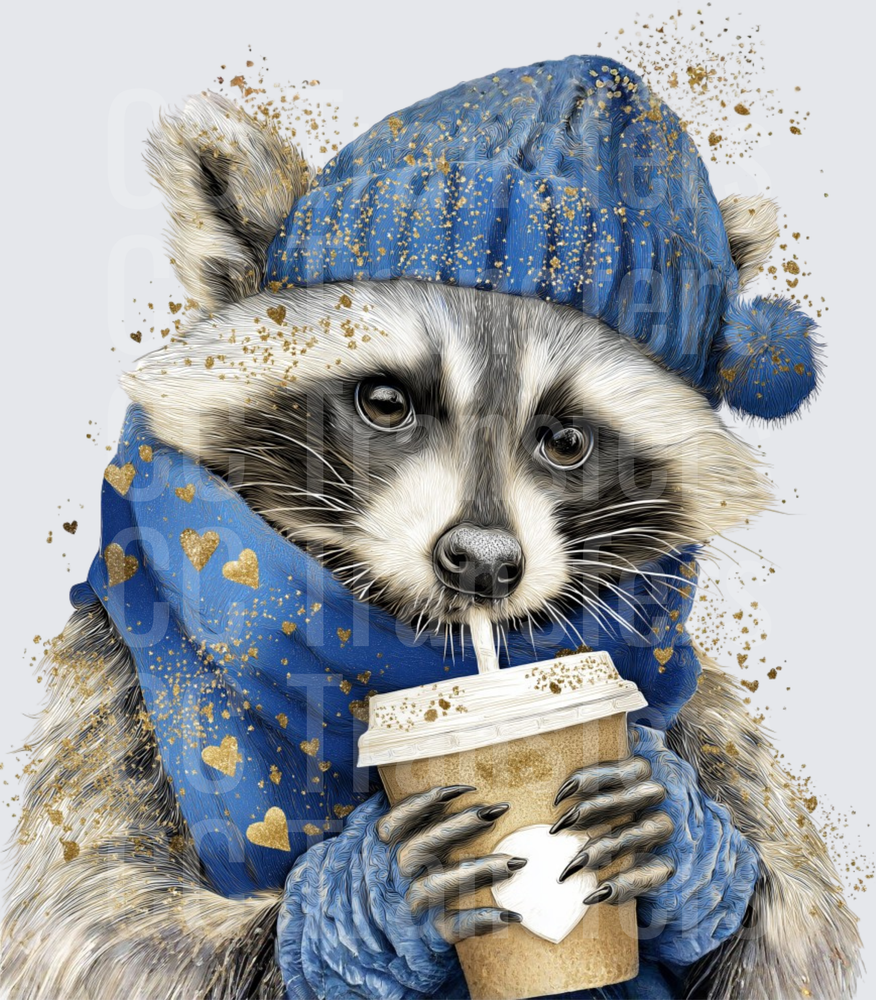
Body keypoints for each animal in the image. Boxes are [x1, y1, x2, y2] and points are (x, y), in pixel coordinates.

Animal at [1, 89, 860, 1000]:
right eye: (386, 401)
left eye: (566, 441)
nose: (483, 563)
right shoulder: (111, 677)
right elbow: (94, 930)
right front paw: (362, 905)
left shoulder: (703, 715)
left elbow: (808, 934)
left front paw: (694, 851)